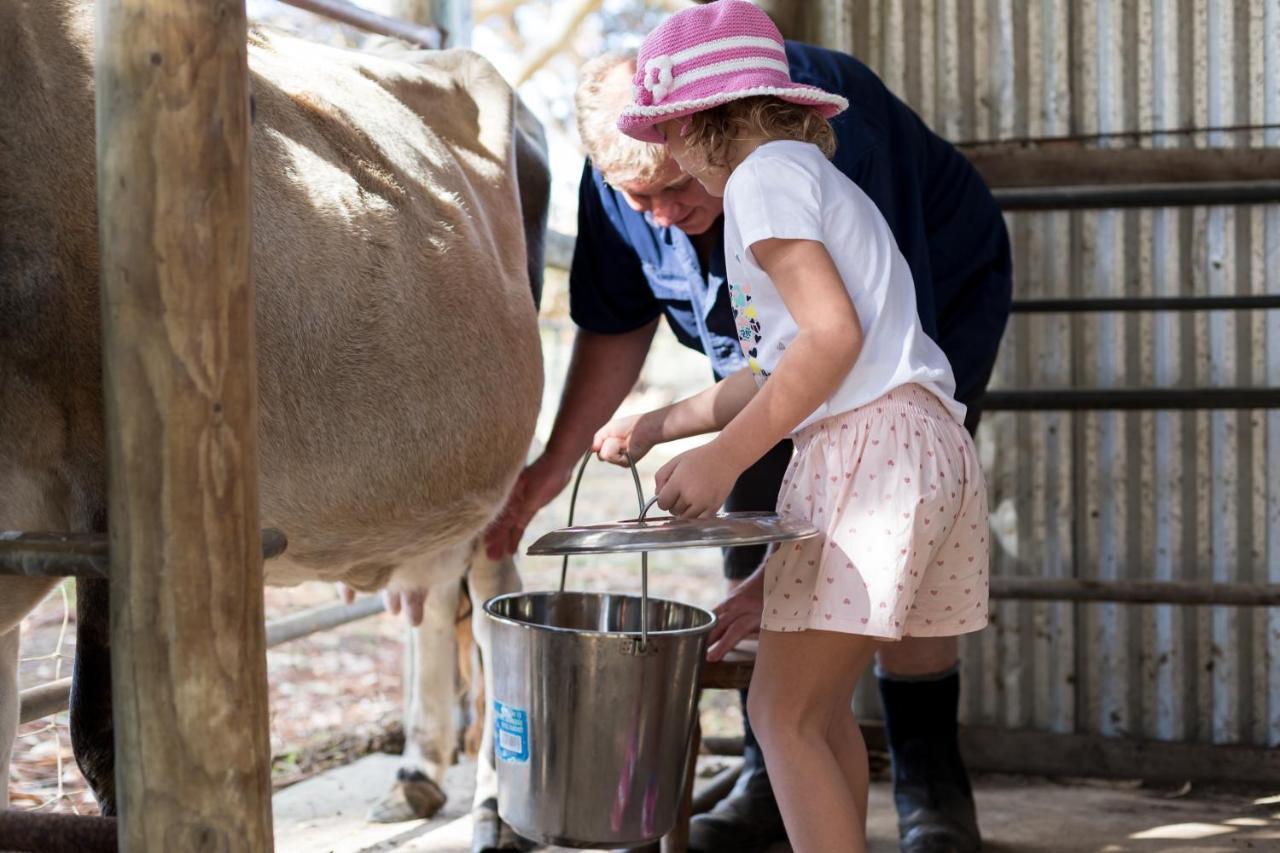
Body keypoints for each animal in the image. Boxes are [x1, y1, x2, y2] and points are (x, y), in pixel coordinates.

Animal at [0, 3, 545, 845]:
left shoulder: (111, 489)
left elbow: (103, 739)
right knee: (431, 586)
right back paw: (418, 774)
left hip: (502, 470)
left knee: (492, 608)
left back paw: (494, 803)